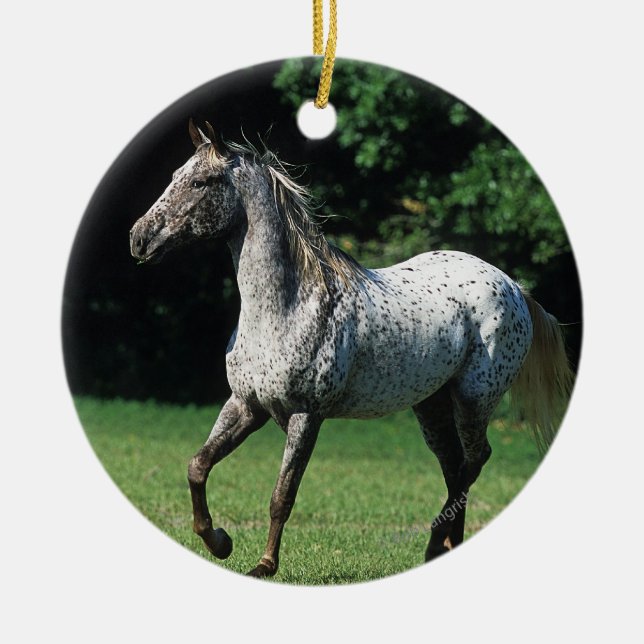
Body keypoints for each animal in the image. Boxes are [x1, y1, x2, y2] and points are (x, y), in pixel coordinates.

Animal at [129, 120, 574, 578]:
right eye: (174, 176)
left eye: (200, 181)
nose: (138, 238)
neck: (285, 306)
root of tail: (514, 287)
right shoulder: (246, 406)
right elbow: (197, 466)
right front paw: (219, 542)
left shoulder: (306, 417)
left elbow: (281, 496)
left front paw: (264, 565)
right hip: (432, 405)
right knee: (456, 467)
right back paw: (445, 547)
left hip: (474, 398)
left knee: (475, 460)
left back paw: (436, 543)